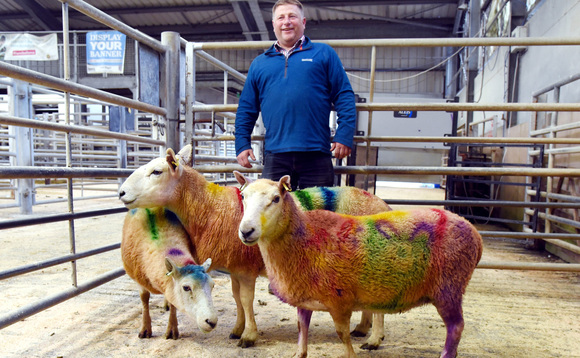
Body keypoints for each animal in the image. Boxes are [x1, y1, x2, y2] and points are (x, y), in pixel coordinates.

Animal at [121, 207, 219, 338]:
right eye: (186, 287)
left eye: (212, 286)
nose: (212, 322)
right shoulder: (138, 279)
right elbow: (144, 298)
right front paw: (145, 329)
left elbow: (173, 302)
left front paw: (172, 330)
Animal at [237, 174, 484, 358]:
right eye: (243, 197)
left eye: (276, 198)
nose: (246, 231)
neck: (306, 237)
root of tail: (474, 233)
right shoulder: (304, 297)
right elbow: (302, 328)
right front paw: (300, 353)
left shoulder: (339, 300)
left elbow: (342, 335)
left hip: (449, 288)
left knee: (456, 328)